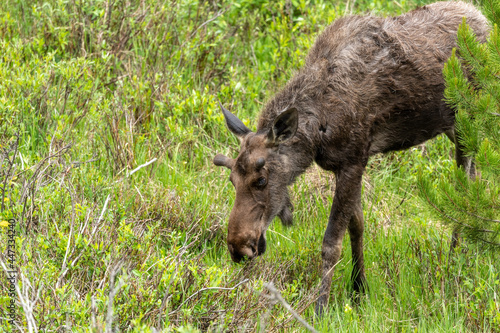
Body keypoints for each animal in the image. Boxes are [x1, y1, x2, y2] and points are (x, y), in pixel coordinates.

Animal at [214, 0, 488, 314]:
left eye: (261, 180)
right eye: (232, 180)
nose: (238, 247)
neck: (316, 134)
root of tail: (484, 20)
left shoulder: (353, 161)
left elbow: (332, 242)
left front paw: (321, 308)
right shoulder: (351, 164)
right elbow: (357, 225)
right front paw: (359, 289)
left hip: (467, 118)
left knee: (463, 189)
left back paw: (455, 260)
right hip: (456, 129)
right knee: (474, 178)